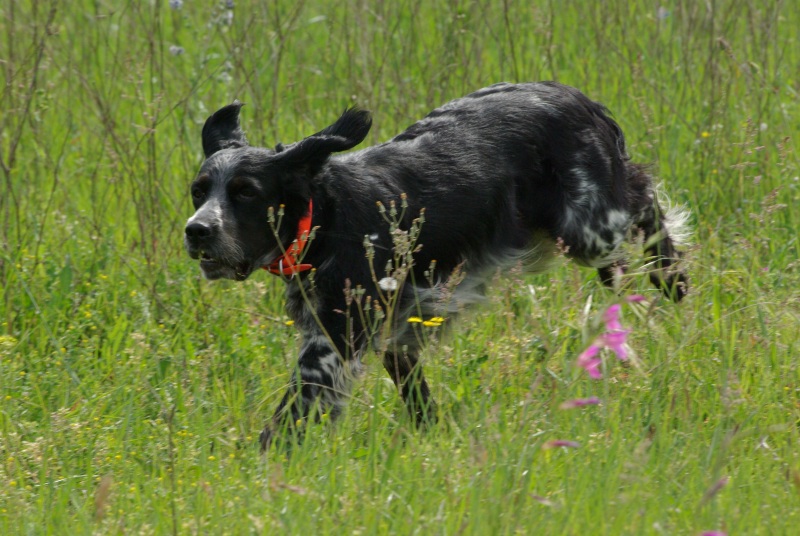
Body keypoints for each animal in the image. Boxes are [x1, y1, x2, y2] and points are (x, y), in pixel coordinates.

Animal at [184, 82, 689, 450]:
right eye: (198, 190)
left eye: (246, 192)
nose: (196, 230)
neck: (325, 216)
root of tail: (580, 99)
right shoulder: (398, 335)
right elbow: (418, 400)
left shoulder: (334, 341)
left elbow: (291, 411)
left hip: (589, 228)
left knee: (646, 198)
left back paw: (672, 277)